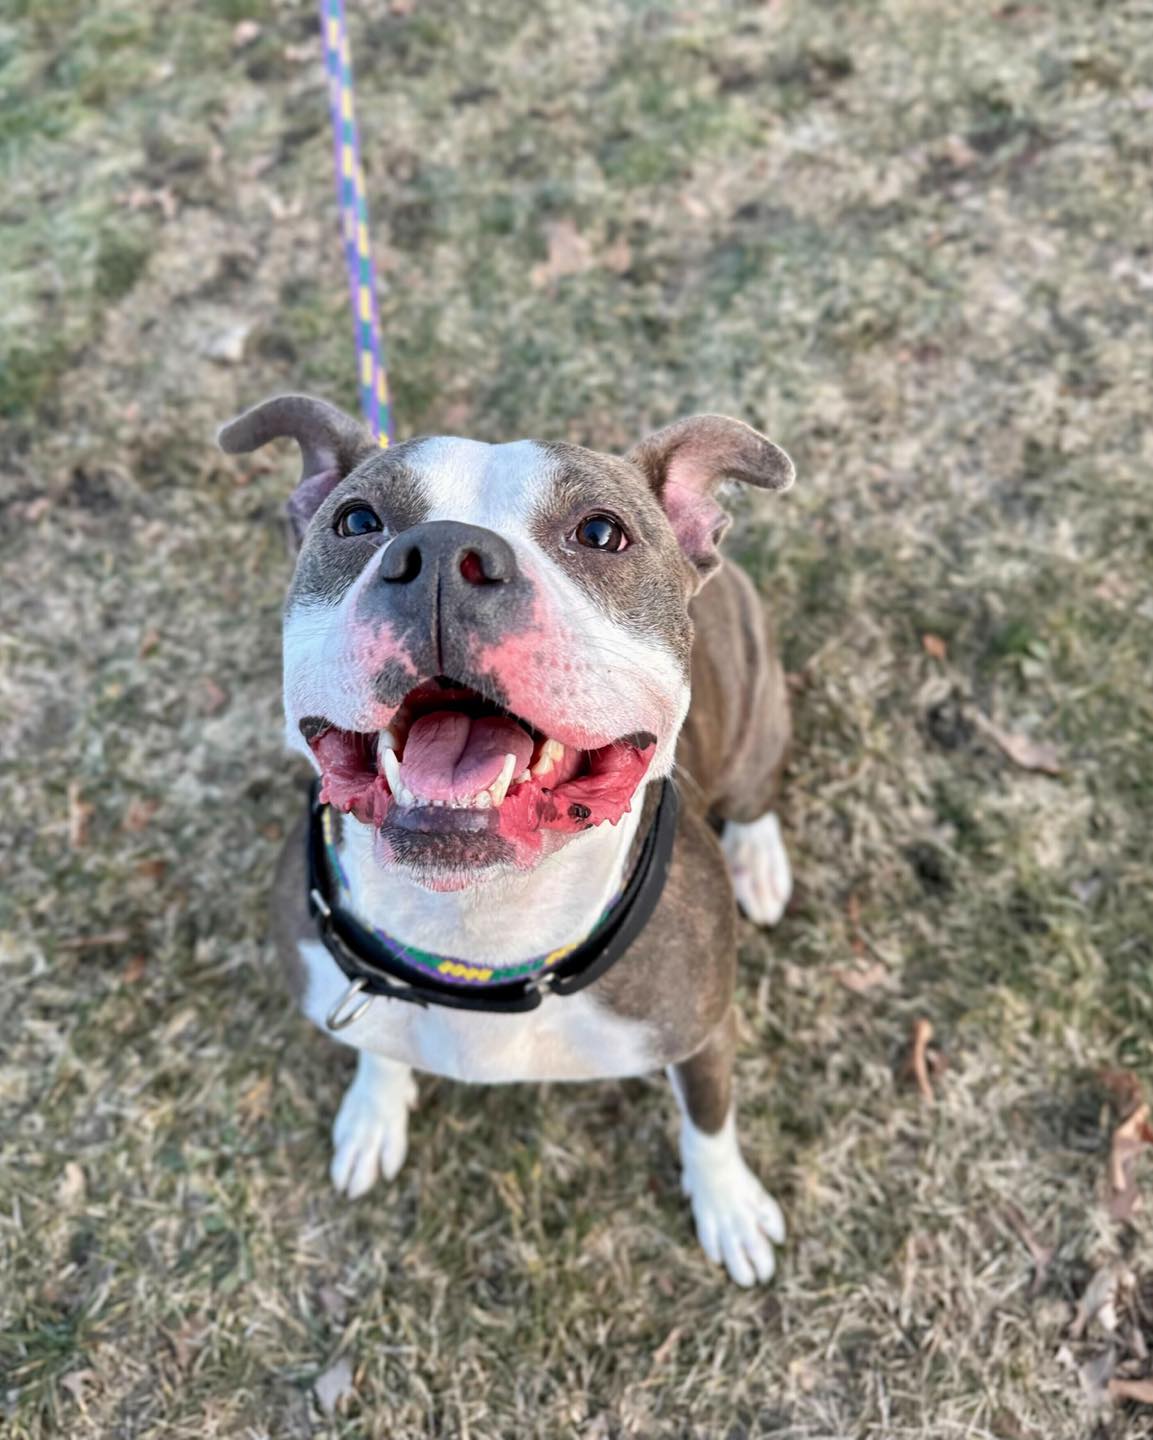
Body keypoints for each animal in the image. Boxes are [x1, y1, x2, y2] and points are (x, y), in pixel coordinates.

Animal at [218, 394, 794, 1284]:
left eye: (600, 533)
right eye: (357, 520)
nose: (440, 554)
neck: (479, 933)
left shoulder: (702, 1031)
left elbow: (708, 1120)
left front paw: (727, 1204)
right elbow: (379, 1050)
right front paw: (374, 1111)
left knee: (755, 789)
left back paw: (758, 860)